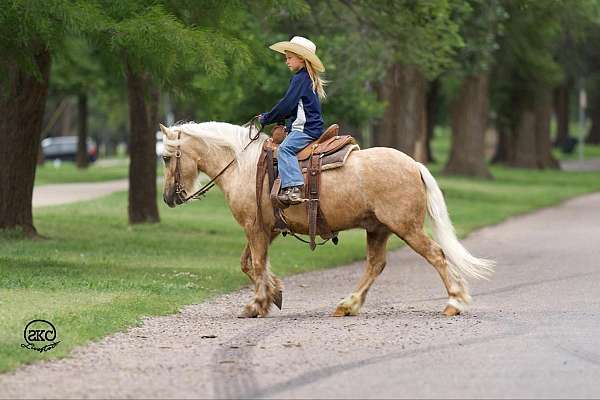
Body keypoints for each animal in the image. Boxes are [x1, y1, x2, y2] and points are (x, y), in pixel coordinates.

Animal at [158, 122, 492, 318]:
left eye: (165, 156)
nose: (168, 197)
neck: (244, 165)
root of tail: (414, 165)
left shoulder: (255, 228)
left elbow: (256, 264)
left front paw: (256, 304)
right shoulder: (267, 229)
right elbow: (249, 264)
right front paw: (275, 294)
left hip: (406, 228)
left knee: (436, 255)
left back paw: (454, 303)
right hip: (378, 229)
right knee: (375, 265)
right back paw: (348, 305)